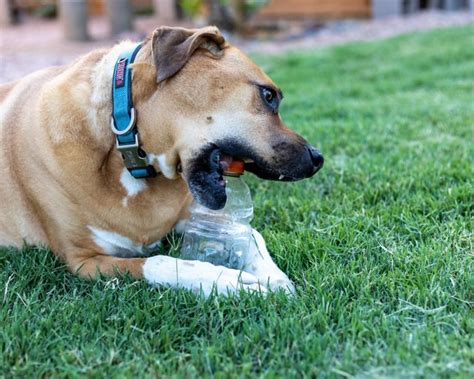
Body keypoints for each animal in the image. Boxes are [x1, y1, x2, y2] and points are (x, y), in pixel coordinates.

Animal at [0, 26, 322, 296]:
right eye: (268, 96)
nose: (317, 158)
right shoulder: (84, 261)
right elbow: (160, 261)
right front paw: (230, 280)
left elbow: (252, 235)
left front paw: (273, 275)